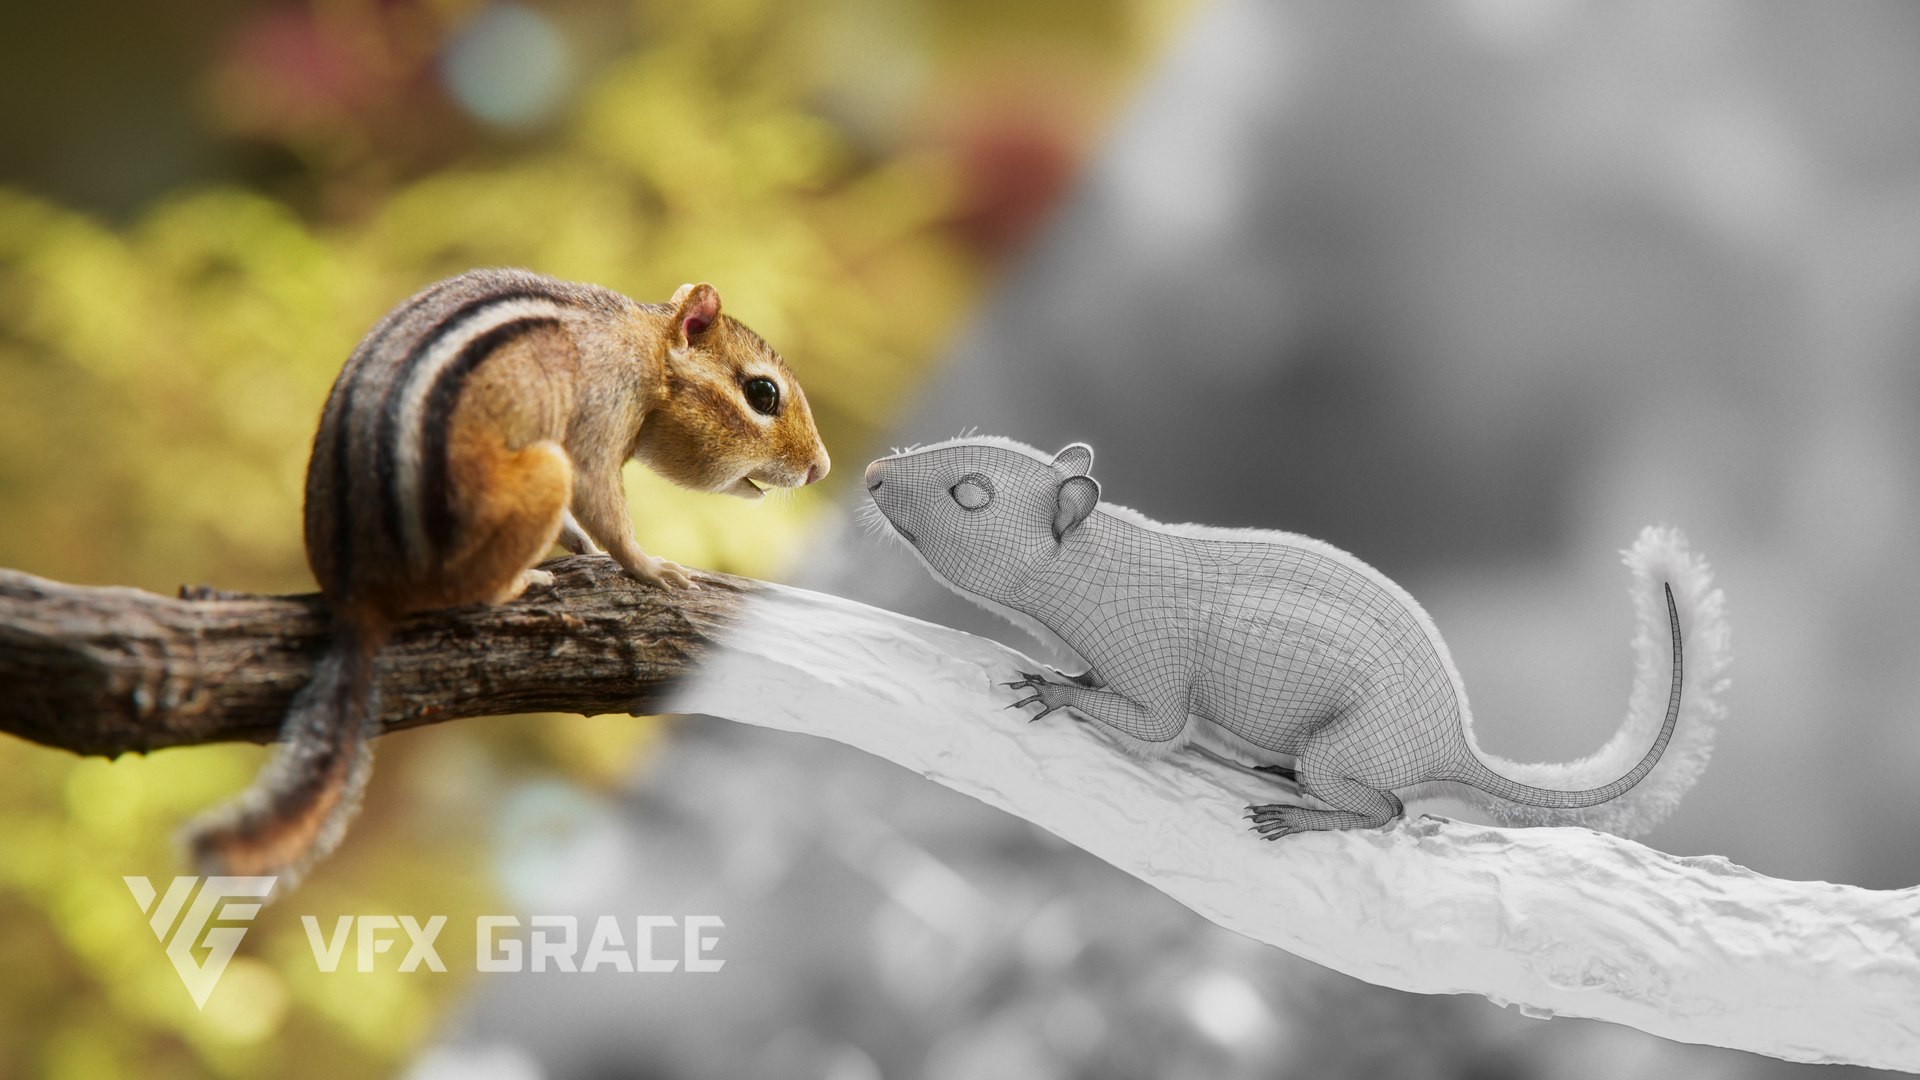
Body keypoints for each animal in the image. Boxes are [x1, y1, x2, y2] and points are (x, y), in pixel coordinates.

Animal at [187, 268, 831, 884]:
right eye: (762, 393)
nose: (820, 468)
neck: (646, 345)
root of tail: (357, 592)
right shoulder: (603, 411)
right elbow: (602, 499)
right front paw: (650, 567)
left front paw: (581, 545)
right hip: (541, 471)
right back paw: (522, 584)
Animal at [863, 436, 1728, 839]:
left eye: (971, 493)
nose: (870, 472)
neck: (1103, 555)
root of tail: (1453, 746)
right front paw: (1068, 678)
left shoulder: (1154, 660)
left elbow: (1158, 726)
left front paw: (1053, 691)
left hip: (1347, 746)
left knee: (1387, 809)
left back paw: (1300, 812)